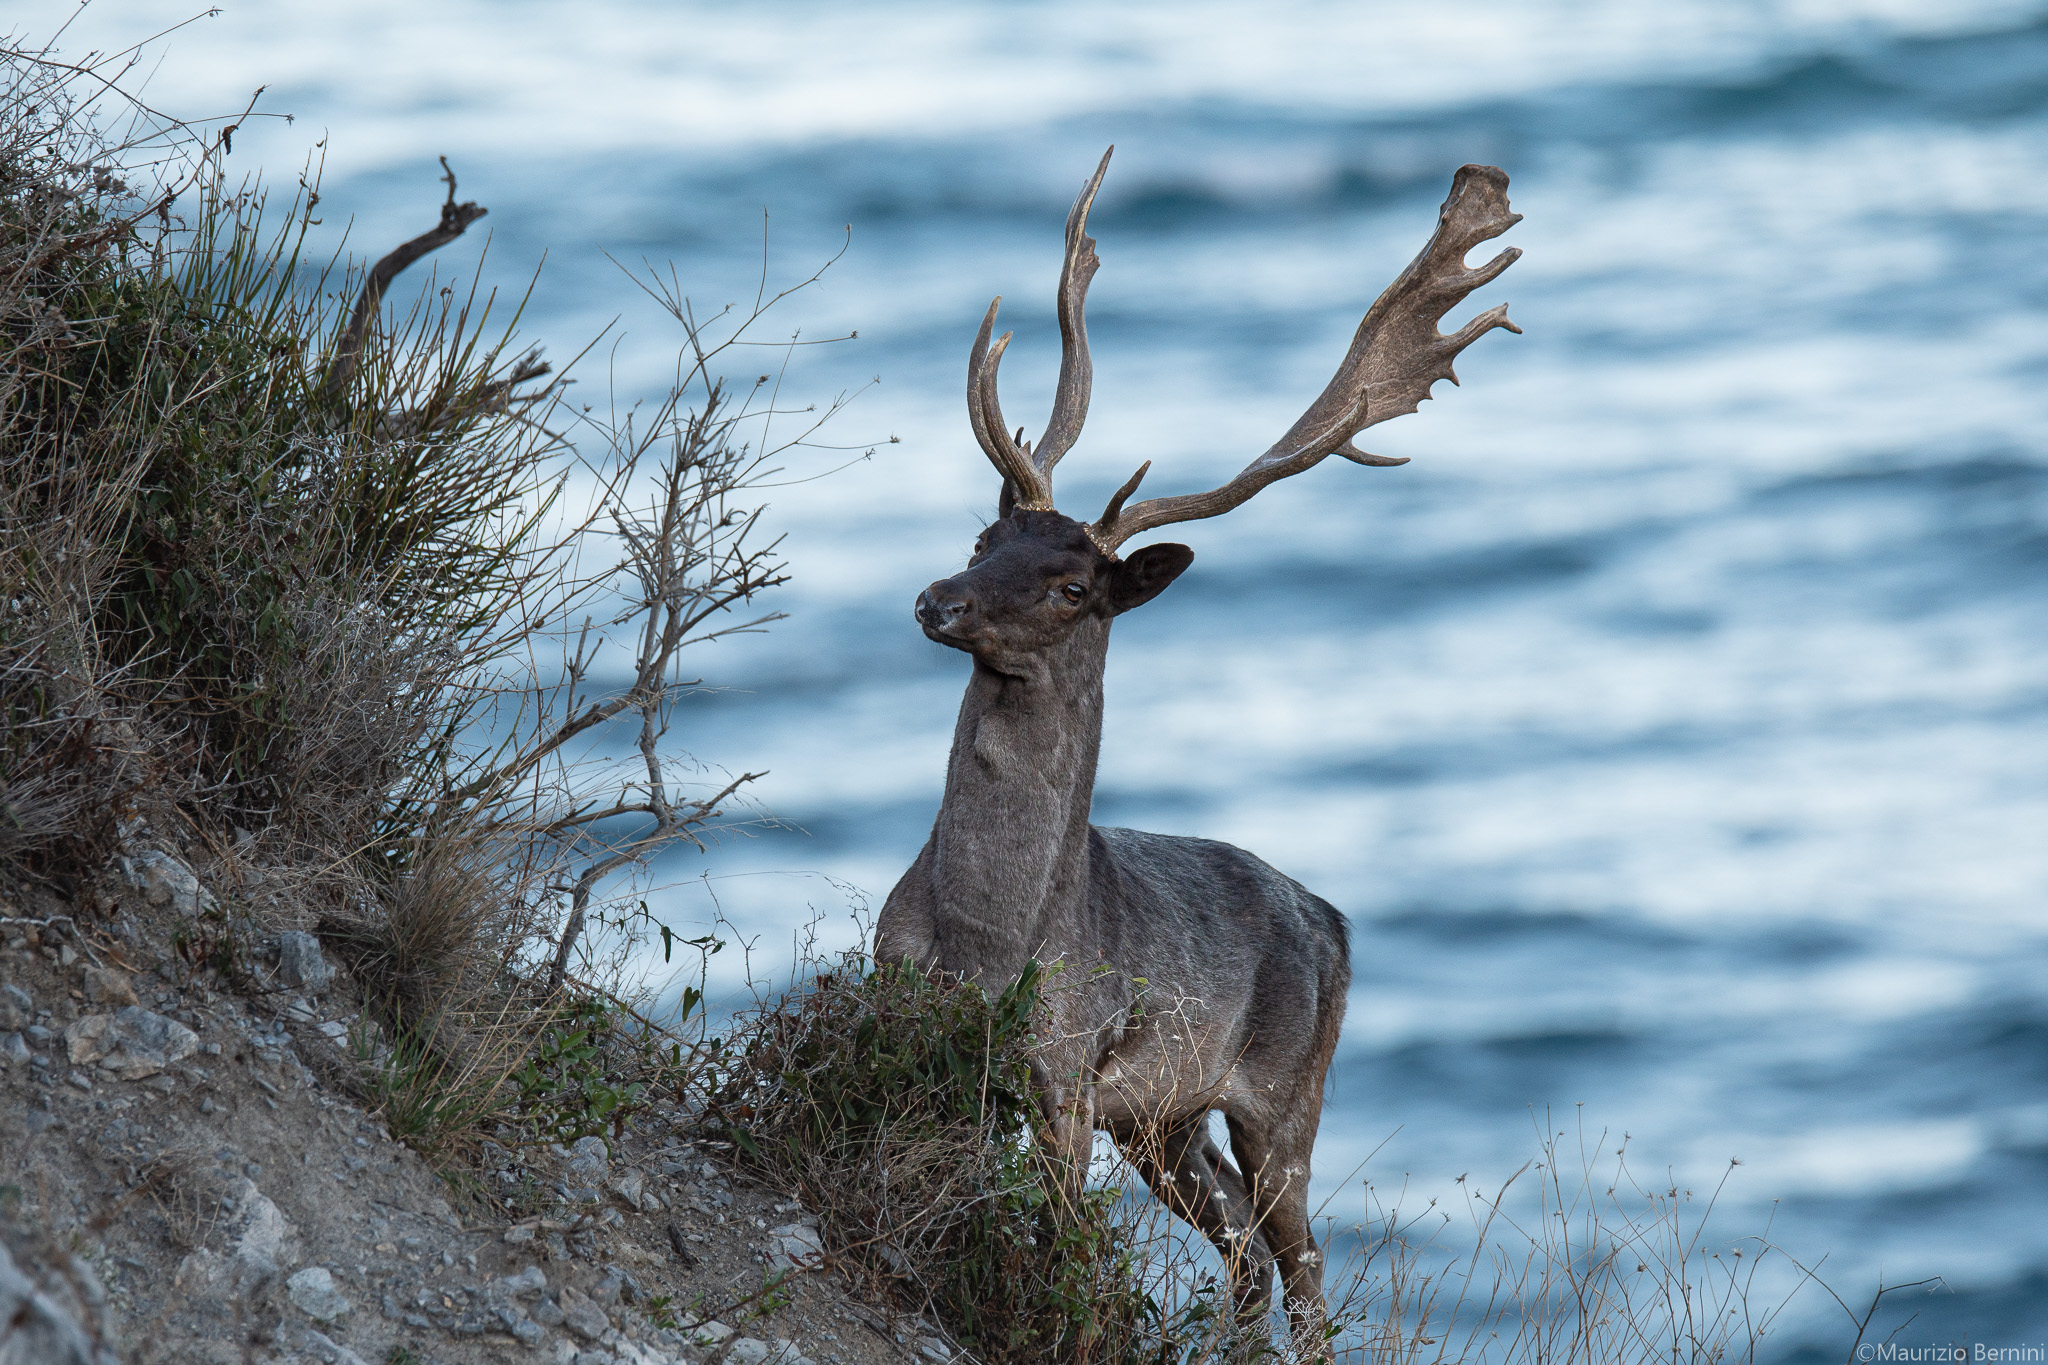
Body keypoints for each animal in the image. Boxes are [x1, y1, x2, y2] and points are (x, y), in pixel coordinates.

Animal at [875, 148, 1521, 1349]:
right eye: (985, 536)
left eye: (1071, 586)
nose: (938, 599)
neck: (986, 937)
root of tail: (1334, 921)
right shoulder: (906, 1017)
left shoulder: (1065, 1068)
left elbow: (1059, 1251)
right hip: (1164, 1118)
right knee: (1242, 1250)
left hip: (1282, 1092)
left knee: (1300, 1258)